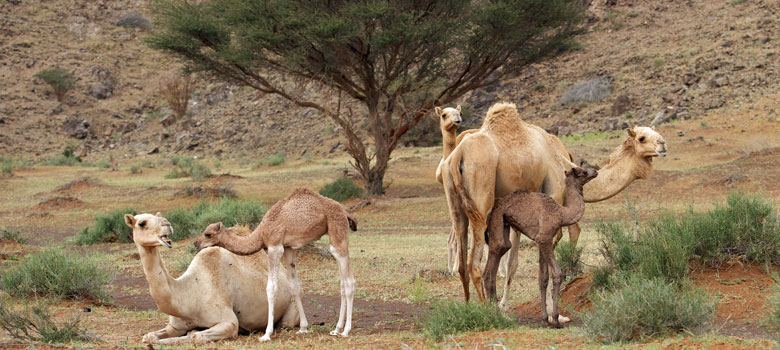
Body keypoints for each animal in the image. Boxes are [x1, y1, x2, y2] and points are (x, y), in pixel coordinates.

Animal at [125, 212, 298, 344]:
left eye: (157, 216)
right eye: (141, 223)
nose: (167, 224)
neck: (189, 294)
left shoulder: (229, 322)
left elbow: (195, 336)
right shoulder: (175, 326)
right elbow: (149, 336)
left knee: (286, 322)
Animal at [193, 189, 358, 342]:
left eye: (208, 234)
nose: (196, 243)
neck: (261, 233)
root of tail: (345, 212)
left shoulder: (275, 246)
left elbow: (271, 288)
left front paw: (266, 334)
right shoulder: (289, 248)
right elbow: (294, 287)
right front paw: (303, 328)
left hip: (337, 229)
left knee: (349, 281)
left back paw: (346, 331)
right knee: (342, 284)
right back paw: (336, 329)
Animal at [442, 102, 576, 302]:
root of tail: (458, 156)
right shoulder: (553, 192)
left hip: (455, 203)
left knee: (462, 262)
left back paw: (468, 303)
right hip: (481, 196)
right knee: (474, 262)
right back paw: (485, 305)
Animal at [482, 167, 596, 328]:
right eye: (583, 172)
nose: (595, 171)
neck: (561, 214)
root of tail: (491, 210)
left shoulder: (541, 241)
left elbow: (543, 278)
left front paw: (545, 318)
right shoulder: (544, 238)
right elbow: (557, 273)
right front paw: (555, 319)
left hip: (503, 224)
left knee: (499, 253)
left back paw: (496, 312)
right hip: (497, 220)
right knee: (492, 261)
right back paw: (494, 313)